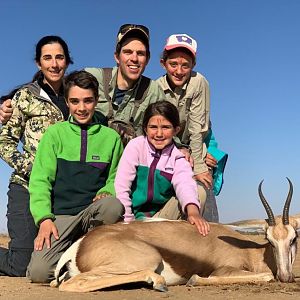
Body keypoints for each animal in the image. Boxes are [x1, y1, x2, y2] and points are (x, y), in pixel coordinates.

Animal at [51, 178, 300, 292]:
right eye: (269, 240)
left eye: (293, 238)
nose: (287, 277)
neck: (250, 251)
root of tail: (79, 246)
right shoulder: (223, 270)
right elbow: (266, 276)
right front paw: (194, 279)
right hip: (148, 259)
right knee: (72, 284)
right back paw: (158, 282)